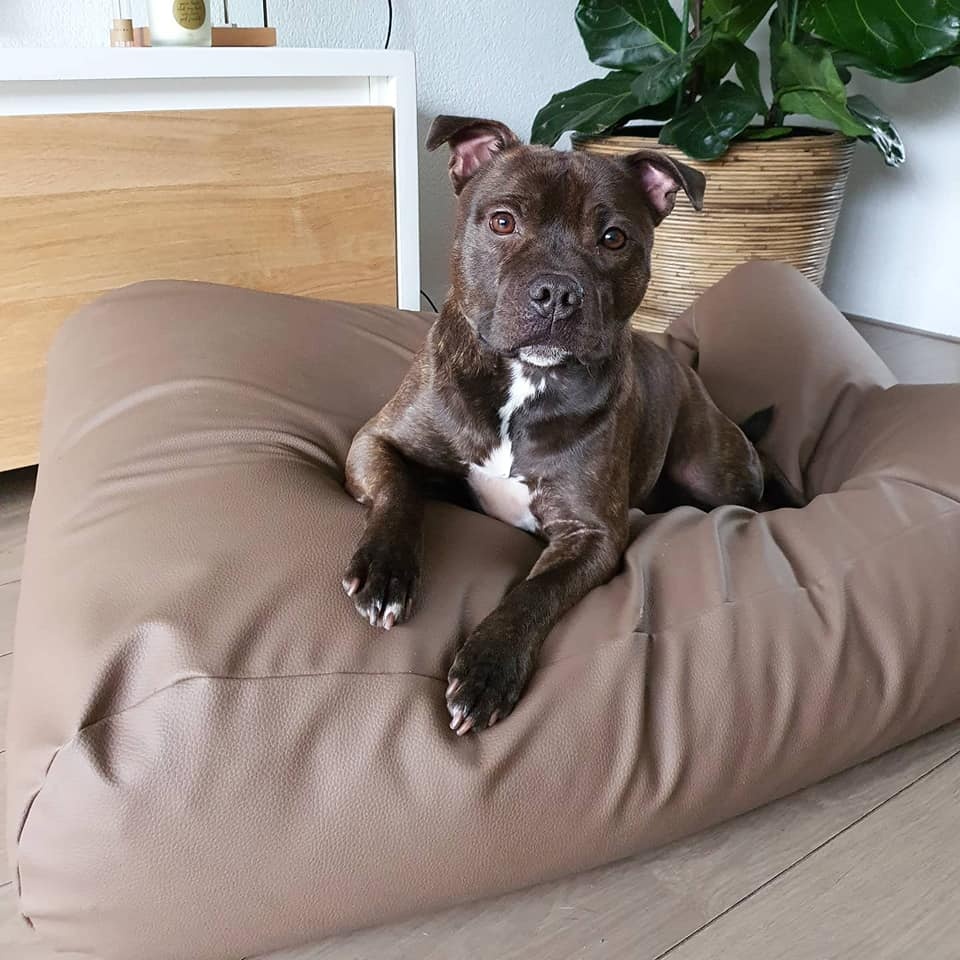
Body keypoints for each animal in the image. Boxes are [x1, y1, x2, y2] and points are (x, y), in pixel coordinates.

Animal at [342, 115, 797, 735]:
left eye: (614, 238)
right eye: (503, 221)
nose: (557, 292)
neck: (525, 381)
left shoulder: (592, 535)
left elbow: (535, 592)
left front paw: (488, 670)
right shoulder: (376, 441)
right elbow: (398, 494)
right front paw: (387, 572)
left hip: (714, 470)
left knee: (759, 470)